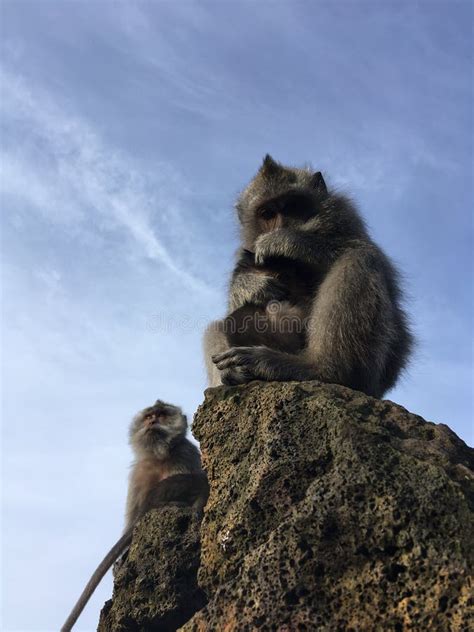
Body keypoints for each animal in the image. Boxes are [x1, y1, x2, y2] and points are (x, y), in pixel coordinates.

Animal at [60, 400, 207, 632]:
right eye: (149, 416)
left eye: (162, 414)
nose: (153, 421)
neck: (160, 458)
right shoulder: (138, 474)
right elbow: (131, 523)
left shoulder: (187, 455)